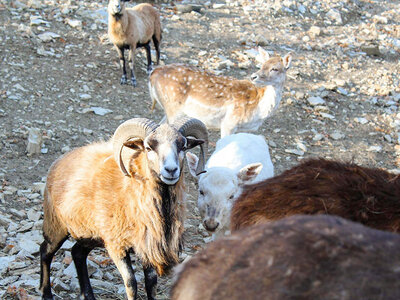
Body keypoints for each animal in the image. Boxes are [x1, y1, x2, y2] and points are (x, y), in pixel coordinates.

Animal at [148, 47, 292, 138]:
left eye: (275, 68)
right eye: (262, 65)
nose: (253, 76)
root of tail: (153, 74)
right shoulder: (229, 122)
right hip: (174, 108)